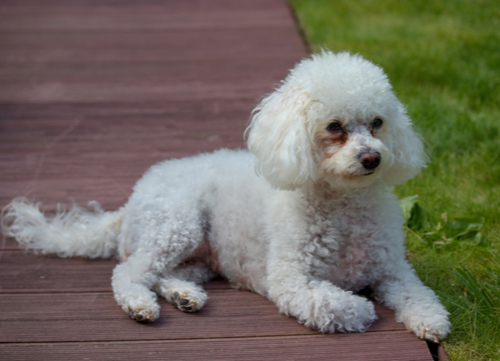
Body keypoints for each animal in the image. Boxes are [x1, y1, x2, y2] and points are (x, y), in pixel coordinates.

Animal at [2, 50, 450, 340]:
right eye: (334, 127)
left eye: (378, 122)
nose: (373, 158)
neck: (344, 204)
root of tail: (130, 200)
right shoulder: (289, 280)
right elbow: (337, 303)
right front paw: (363, 309)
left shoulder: (393, 270)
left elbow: (420, 295)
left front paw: (431, 321)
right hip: (177, 224)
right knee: (128, 273)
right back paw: (139, 305)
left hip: (199, 255)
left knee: (164, 274)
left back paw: (183, 296)